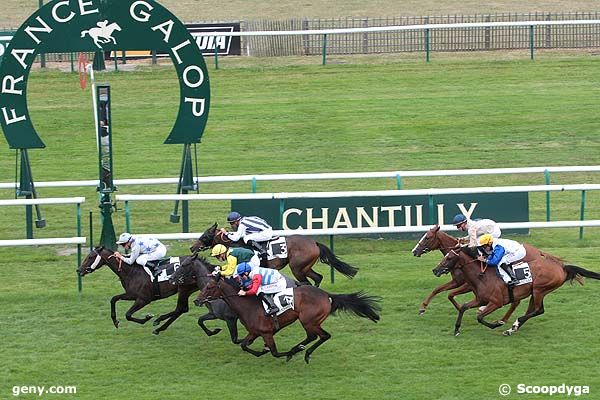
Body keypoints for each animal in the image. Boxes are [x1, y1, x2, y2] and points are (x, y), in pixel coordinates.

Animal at [190, 223, 358, 286]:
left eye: (205, 236)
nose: (192, 247)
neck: (237, 244)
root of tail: (314, 243)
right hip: (304, 267)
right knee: (318, 277)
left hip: (297, 268)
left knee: (307, 282)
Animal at [193, 276, 380, 362]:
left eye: (209, 287)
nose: (196, 300)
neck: (248, 305)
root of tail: (327, 295)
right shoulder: (255, 332)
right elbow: (244, 345)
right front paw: (261, 351)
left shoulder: (267, 333)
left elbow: (275, 352)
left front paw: (283, 353)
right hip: (309, 321)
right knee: (313, 336)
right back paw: (300, 348)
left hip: (308, 320)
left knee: (323, 336)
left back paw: (302, 352)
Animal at [432, 247, 600, 334]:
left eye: (448, 258)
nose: (435, 270)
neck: (482, 276)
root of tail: (561, 267)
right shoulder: (480, 299)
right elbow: (464, 307)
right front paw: (456, 329)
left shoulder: (496, 302)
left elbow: (479, 317)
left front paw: (496, 324)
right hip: (535, 292)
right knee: (533, 310)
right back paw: (513, 328)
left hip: (539, 289)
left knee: (539, 310)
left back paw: (514, 324)